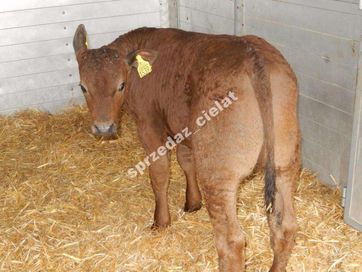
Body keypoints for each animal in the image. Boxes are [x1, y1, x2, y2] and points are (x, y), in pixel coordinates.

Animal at [73, 24, 300, 270]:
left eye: (121, 86)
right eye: (83, 87)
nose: (103, 128)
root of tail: (252, 54)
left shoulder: (148, 122)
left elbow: (160, 172)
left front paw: (161, 221)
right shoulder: (182, 126)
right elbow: (185, 160)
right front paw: (192, 201)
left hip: (218, 173)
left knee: (231, 241)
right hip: (285, 162)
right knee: (286, 227)